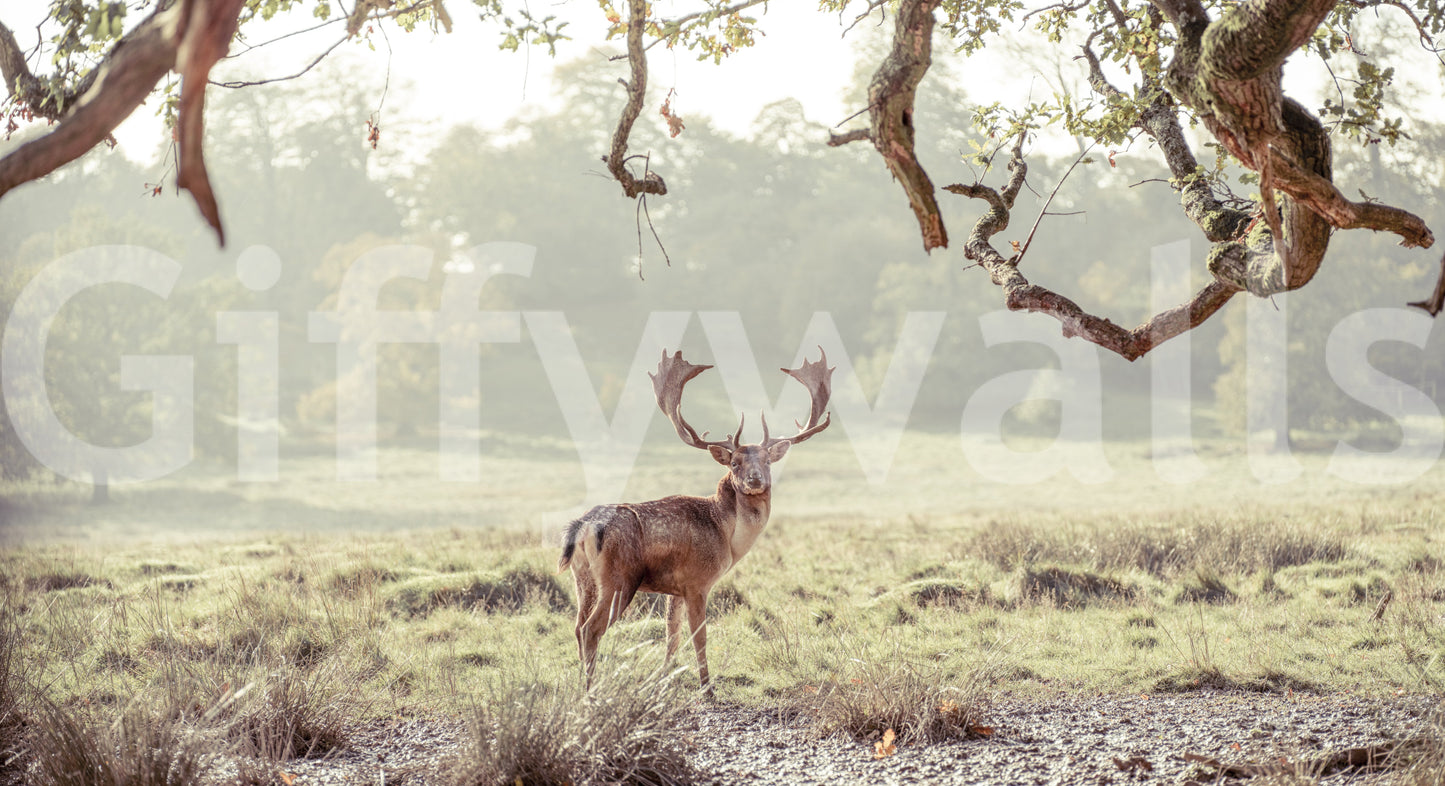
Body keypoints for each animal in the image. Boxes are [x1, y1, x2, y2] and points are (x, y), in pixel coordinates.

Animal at [557, 348, 833, 694]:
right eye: (734, 462)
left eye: (767, 461)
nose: (755, 478)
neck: (727, 536)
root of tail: (582, 527)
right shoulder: (697, 581)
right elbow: (699, 636)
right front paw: (707, 687)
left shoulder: (675, 588)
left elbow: (671, 635)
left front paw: (662, 679)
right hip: (619, 578)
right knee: (591, 629)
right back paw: (591, 690)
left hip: (582, 577)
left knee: (577, 626)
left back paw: (580, 684)